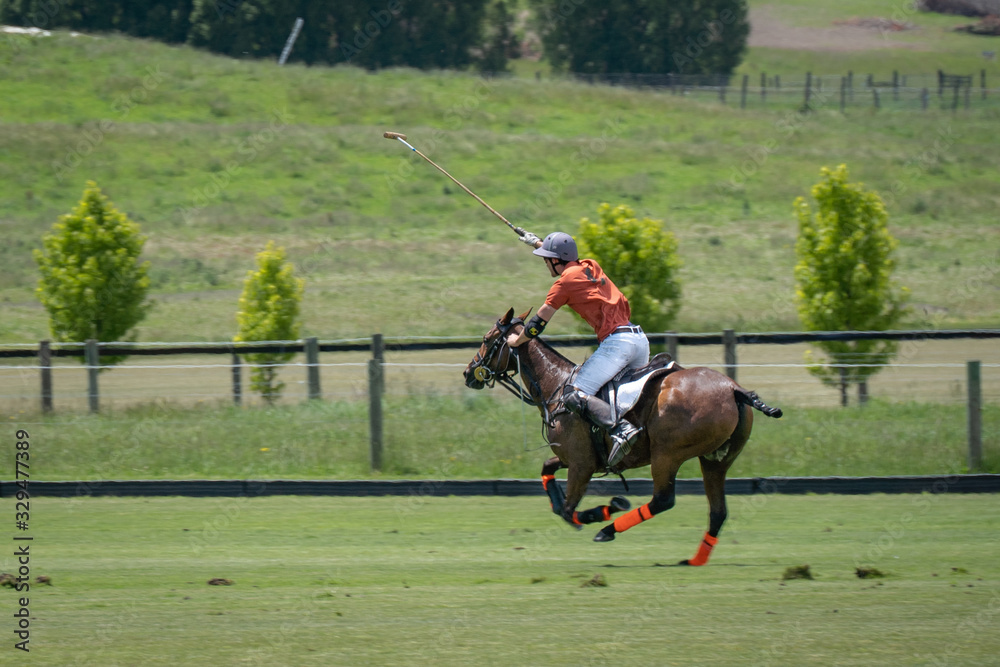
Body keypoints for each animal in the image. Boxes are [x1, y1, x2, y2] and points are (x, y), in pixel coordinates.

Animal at [463, 308, 783, 565]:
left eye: (488, 338)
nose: (469, 372)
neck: (557, 385)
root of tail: (733, 388)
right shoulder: (572, 457)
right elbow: (548, 471)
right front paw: (569, 505)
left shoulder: (581, 464)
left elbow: (568, 510)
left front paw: (605, 510)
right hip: (716, 460)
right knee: (718, 512)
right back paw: (695, 560)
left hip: (667, 454)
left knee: (663, 500)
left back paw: (608, 530)